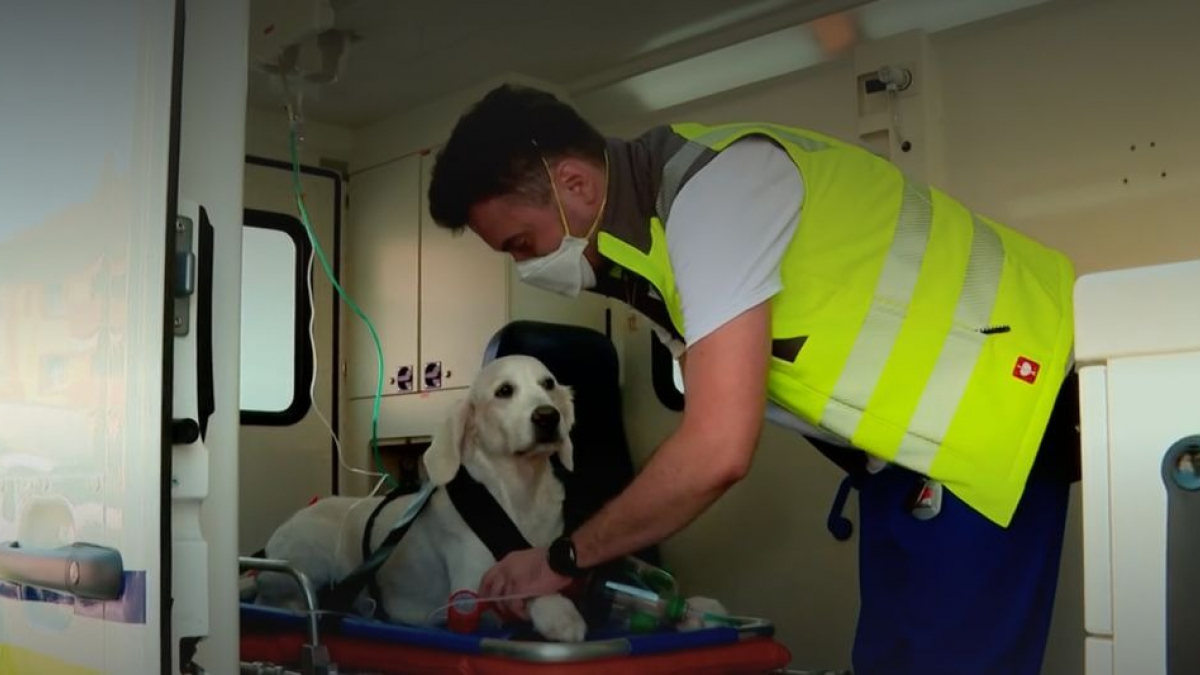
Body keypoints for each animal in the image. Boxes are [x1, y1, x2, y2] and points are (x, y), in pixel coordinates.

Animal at [254, 355, 590, 638]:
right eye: (504, 391)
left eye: (548, 384)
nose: (548, 417)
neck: (519, 492)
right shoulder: (467, 596)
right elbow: (520, 589)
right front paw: (558, 613)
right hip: (309, 558)